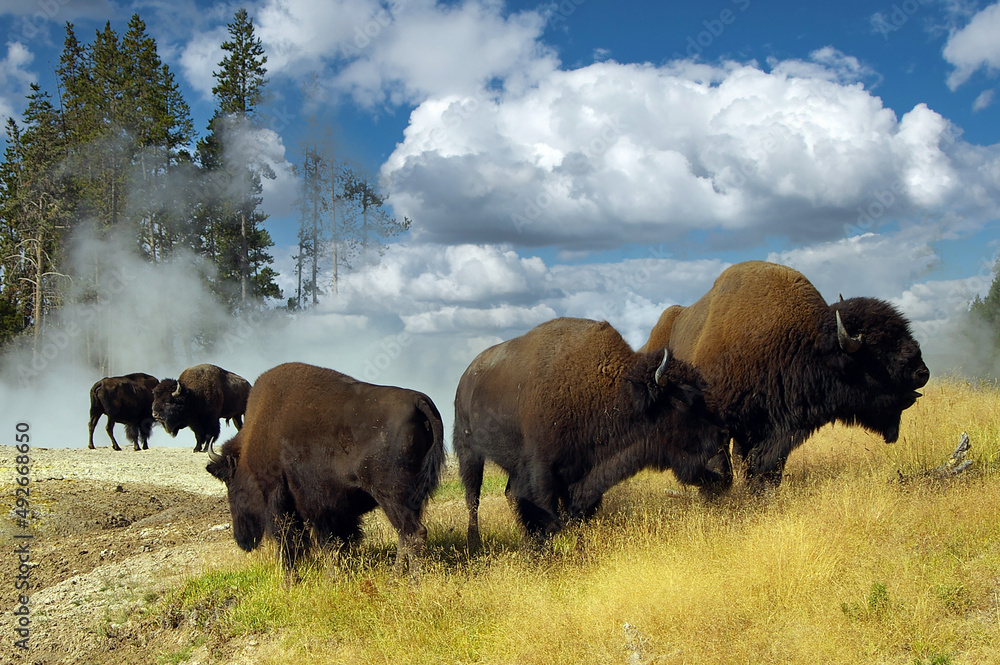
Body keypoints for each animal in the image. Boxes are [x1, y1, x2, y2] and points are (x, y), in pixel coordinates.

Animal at [205, 360, 444, 572]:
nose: (242, 539)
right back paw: (395, 577)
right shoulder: (331, 512)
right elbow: (334, 545)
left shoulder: (285, 504)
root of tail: (417, 400)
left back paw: (410, 581)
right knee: (405, 535)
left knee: (413, 534)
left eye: (229, 483)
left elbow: (294, 546)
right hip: (407, 500)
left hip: (392, 497)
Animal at [454, 316, 728, 548]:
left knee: (508, 494)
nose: (721, 436)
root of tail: (467, 377)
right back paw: (474, 543)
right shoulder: (541, 470)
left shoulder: (584, 477)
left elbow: (576, 515)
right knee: (472, 499)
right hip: (469, 453)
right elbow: (547, 517)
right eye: (684, 401)